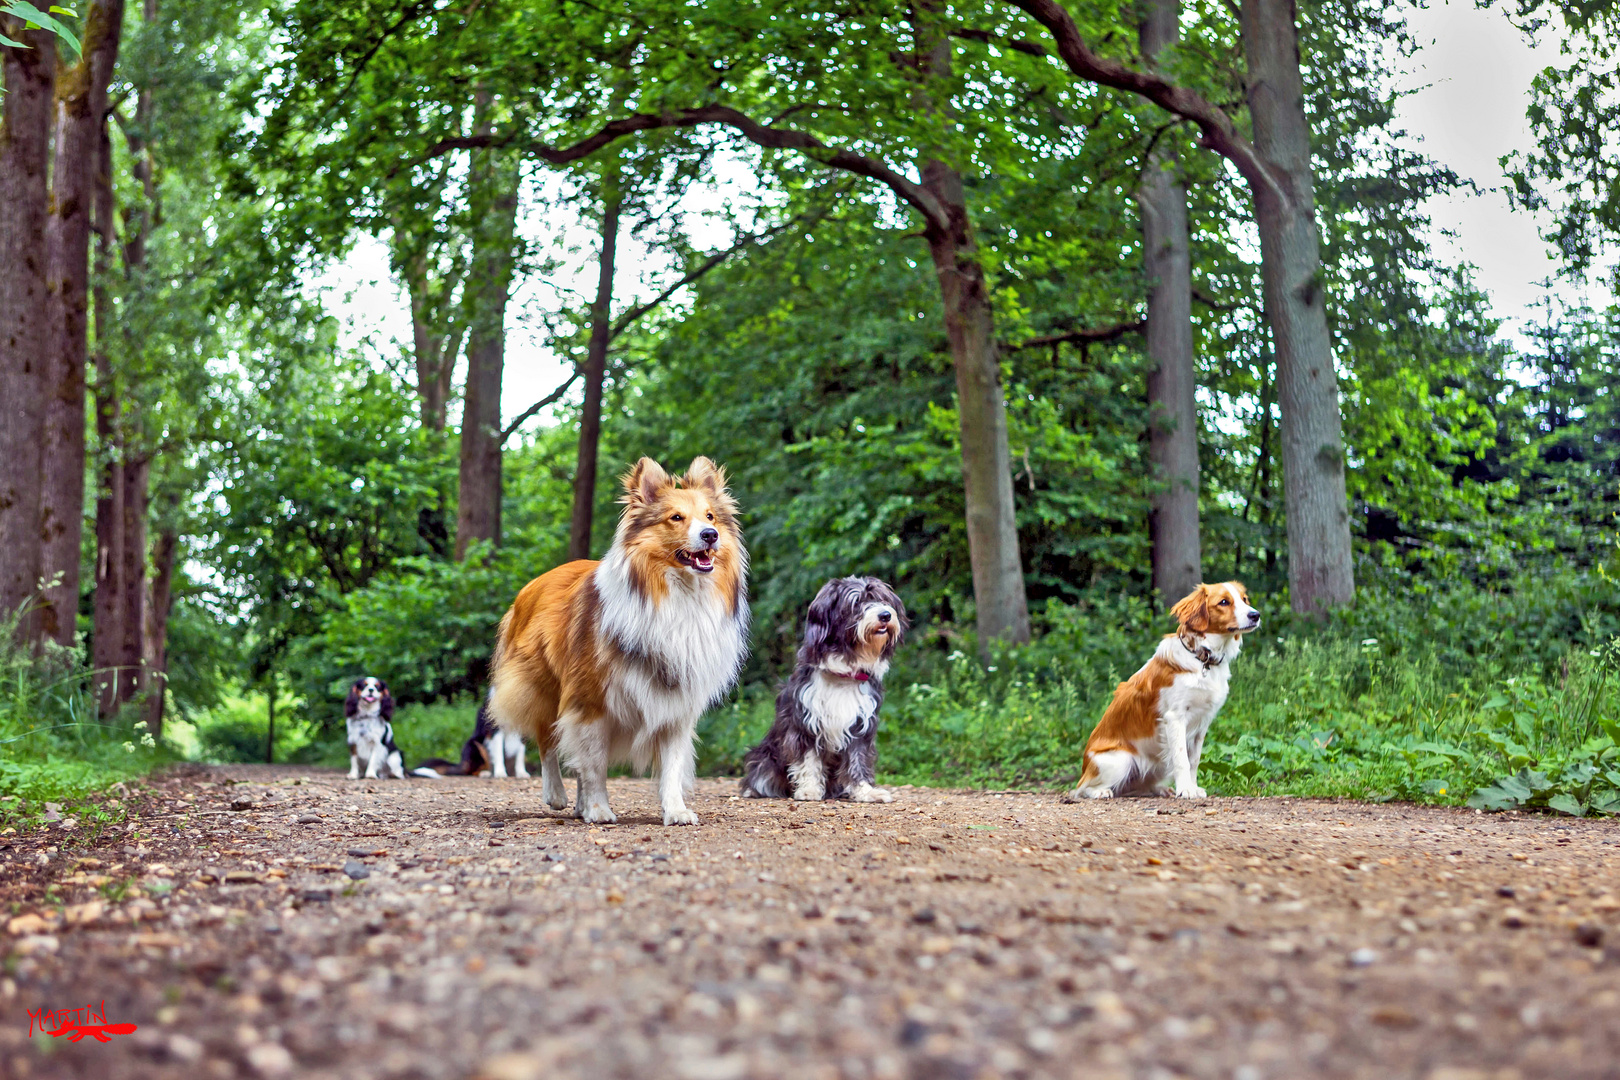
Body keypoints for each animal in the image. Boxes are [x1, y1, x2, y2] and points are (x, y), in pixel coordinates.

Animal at [476, 459, 748, 829]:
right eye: (676, 517)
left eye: (710, 516)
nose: (710, 535)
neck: (677, 597)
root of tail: (532, 585)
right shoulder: (590, 701)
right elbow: (594, 764)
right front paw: (598, 808)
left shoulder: (677, 705)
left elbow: (672, 767)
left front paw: (675, 810)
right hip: (544, 687)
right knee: (547, 740)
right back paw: (557, 795)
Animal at [741, 582, 907, 803]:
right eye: (856, 602)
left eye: (883, 600)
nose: (886, 615)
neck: (843, 676)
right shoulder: (804, 724)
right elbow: (808, 759)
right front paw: (809, 789)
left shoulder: (860, 726)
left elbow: (858, 760)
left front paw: (866, 791)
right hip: (764, 759)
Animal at [1069, 582, 1257, 803]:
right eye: (1224, 602)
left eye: (1244, 599)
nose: (1256, 615)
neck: (1201, 658)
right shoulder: (1175, 718)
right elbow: (1182, 758)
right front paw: (1186, 790)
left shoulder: (1202, 723)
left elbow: (1194, 760)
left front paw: (1192, 787)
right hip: (1120, 760)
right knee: (1082, 789)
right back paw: (1100, 791)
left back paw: (1160, 789)